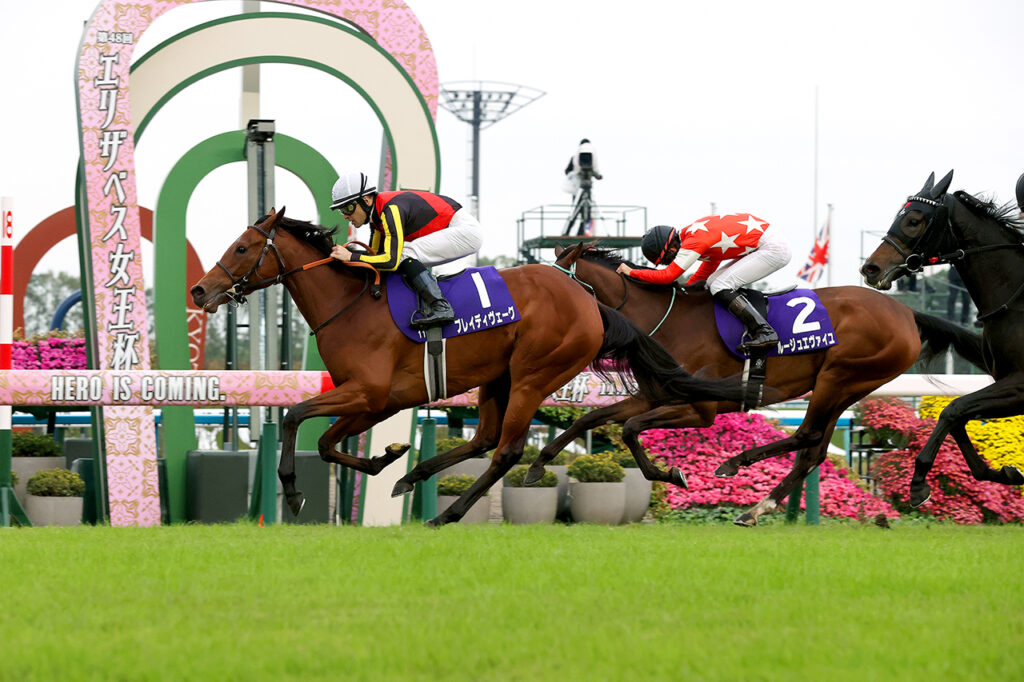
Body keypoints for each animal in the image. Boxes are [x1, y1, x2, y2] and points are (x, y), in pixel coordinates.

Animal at [188, 206, 745, 524]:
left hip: (533, 374)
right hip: (498, 378)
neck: (350, 303)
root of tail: (587, 299)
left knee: (506, 451)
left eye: (242, 247)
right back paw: (415, 478)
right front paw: (388, 456)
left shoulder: (368, 392)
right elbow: (325, 442)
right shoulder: (376, 400)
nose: (199, 290)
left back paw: (448, 514)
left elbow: (294, 416)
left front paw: (293, 493)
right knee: (483, 440)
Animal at [532, 241, 978, 522]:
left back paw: (735, 466)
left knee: (807, 436)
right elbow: (591, 420)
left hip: (840, 377)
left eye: (558, 284)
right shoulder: (654, 394)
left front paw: (673, 475)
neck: (664, 319)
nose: (543, 319)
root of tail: (907, 313)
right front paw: (537, 466)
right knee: (813, 451)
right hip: (844, 388)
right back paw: (753, 510)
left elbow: (628, 427)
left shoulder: (700, 408)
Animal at [864, 169, 1024, 503]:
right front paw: (1000, 472)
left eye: (913, 220)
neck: (1017, 300)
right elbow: (957, 413)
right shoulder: (1006, 383)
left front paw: (918, 482)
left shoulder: (1020, 385)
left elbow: (953, 410)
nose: (870, 268)